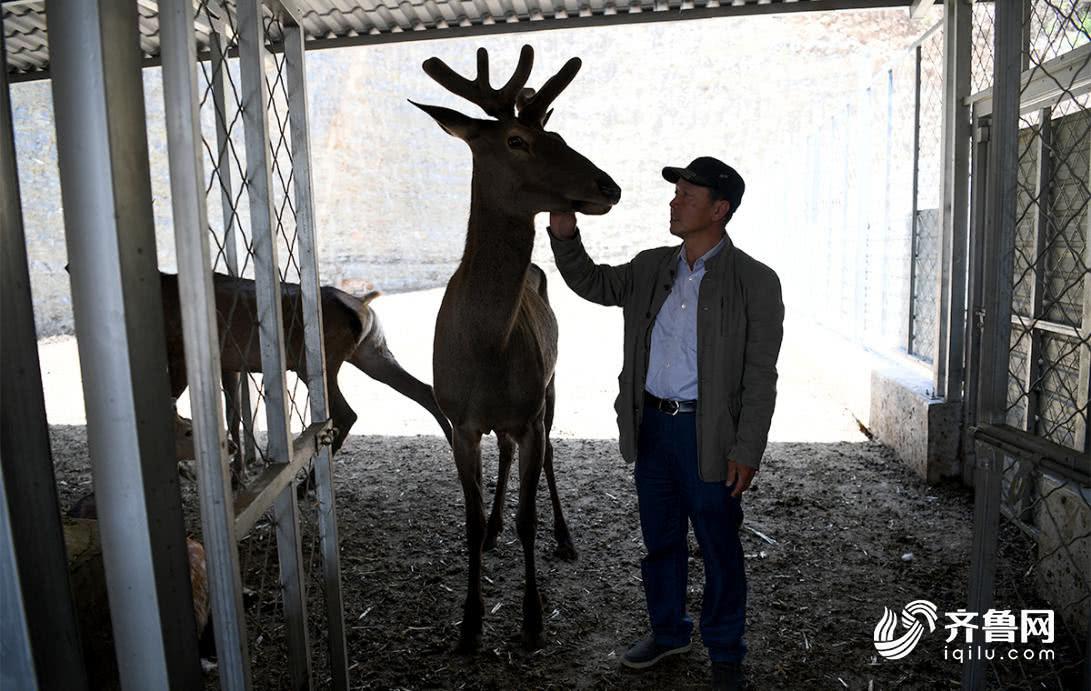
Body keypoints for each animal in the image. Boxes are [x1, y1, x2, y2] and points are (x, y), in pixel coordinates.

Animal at [412, 45, 624, 650]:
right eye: (516, 141)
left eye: (558, 135)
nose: (608, 186)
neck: (486, 352)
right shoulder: (458, 420)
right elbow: (466, 518)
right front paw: (469, 623)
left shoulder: (529, 412)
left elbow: (530, 514)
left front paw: (531, 620)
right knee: (503, 455)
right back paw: (493, 528)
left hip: (551, 386)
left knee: (548, 454)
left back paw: (565, 537)